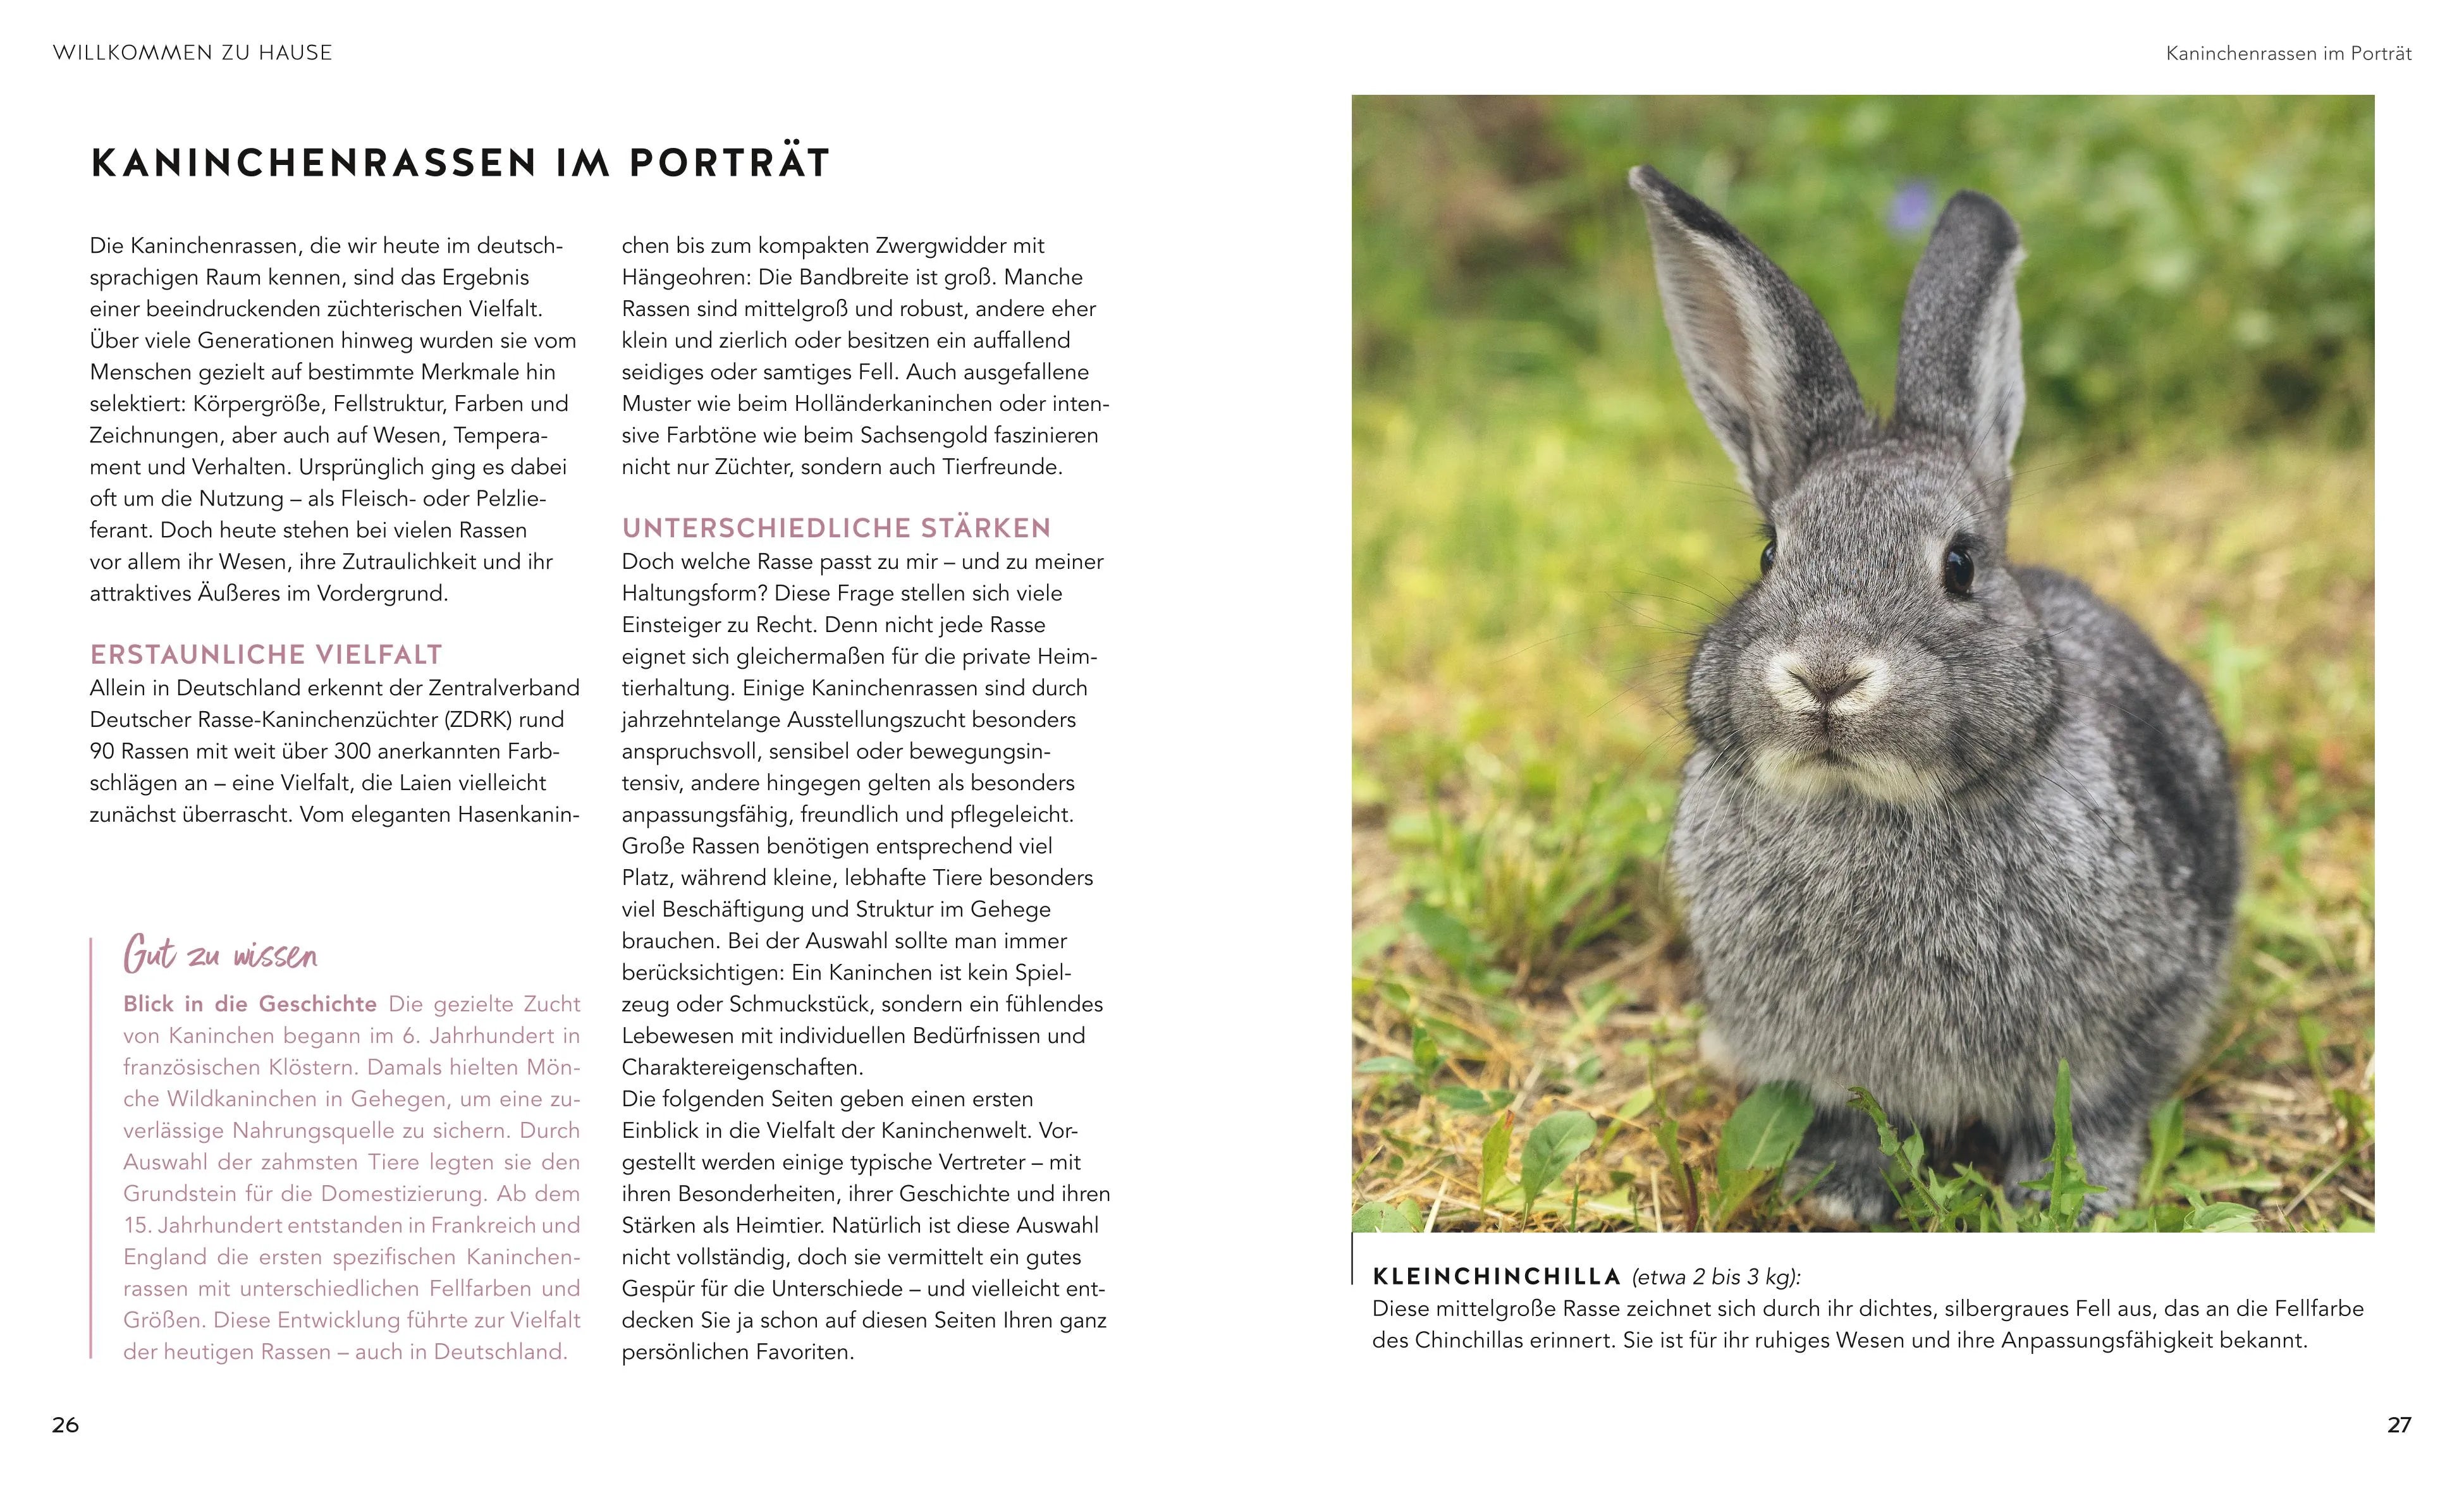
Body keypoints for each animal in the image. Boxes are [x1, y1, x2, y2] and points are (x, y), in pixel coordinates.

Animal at [1628, 166, 2240, 1223]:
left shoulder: (2129, 1024)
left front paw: (2074, 1197)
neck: (1865, 806)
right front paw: (1836, 1191)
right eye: (1770, 554)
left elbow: (2095, 1110)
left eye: (1960, 565)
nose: (1826, 672)